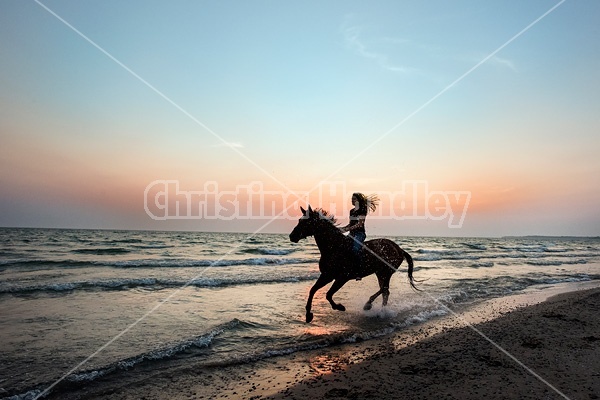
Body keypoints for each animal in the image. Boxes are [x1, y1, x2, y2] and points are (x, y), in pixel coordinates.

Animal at [290, 205, 418, 324]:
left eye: (305, 221)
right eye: (300, 220)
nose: (292, 236)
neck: (334, 247)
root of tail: (399, 249)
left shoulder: (342, 278)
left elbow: (328, 294)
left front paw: (339, 307)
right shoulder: (327, 275)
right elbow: (313, 290)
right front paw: (308, 315)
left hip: (386, 272)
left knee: (384, 289)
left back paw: (369, 305)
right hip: (380, 273)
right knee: (385, 292)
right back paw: (381, 312)